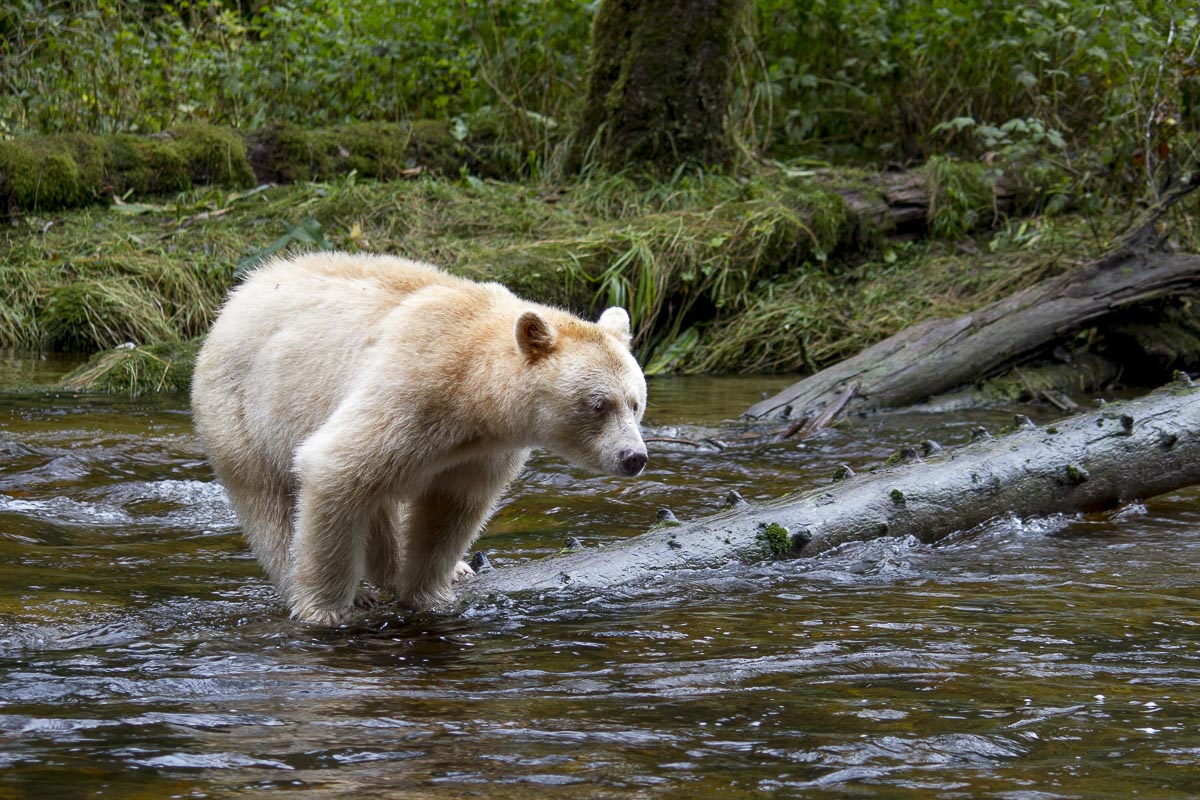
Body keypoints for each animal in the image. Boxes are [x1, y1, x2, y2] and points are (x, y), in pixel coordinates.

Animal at [191, 252, 648, 625]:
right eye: (598, 404)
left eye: (636, 402)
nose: (634, 457)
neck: (472, 388)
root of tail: (241, 292)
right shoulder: (411, 387)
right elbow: (334, 468)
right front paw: (328, 609)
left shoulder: (482, 450)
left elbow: (450, 508)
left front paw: (429, 593)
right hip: (242, 410)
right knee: (269, 503)